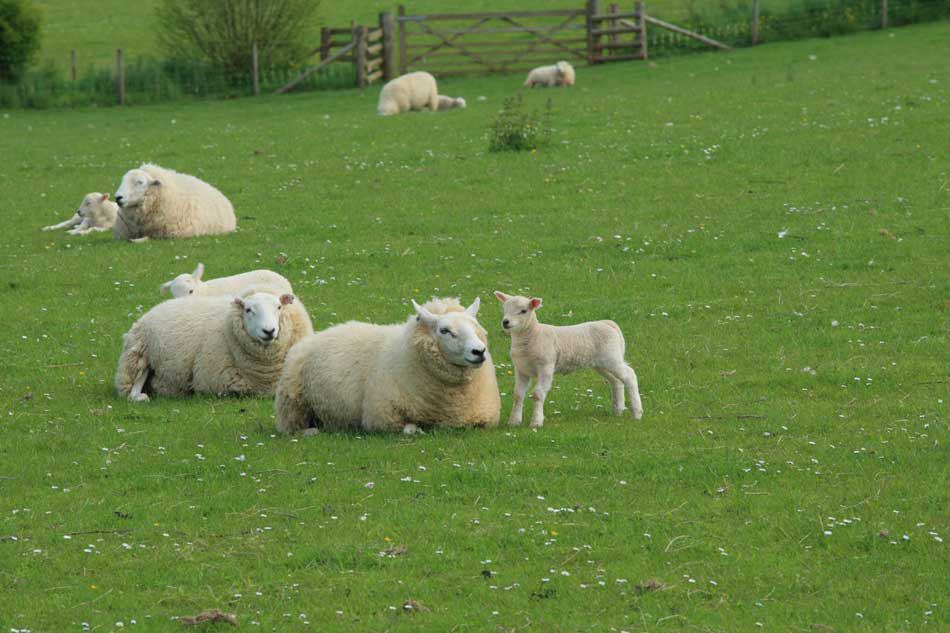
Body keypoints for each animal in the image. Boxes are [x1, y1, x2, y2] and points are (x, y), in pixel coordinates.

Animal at [115, 289, 313, 402]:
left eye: (279, 307)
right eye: (248, 310)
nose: (269, 331)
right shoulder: (217, 382)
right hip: (140, 355)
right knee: (133, 389)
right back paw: (141, 397)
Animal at [275, 297, 500, 435]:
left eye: (475, 327)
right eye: (445, 331)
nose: (479, 351)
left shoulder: (484, 419)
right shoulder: (382, 418)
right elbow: (409, 429)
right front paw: (417, 429)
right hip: (293, 404)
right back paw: (312, 431)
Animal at [494, 291, 642, 428]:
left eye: (523, 311)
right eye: (504, 309)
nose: (505, 322)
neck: (534, 334)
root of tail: (608, 323)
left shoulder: (546, 366)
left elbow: (538, 394)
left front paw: (536, 422)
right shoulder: (521, 369)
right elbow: (518, 395)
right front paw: (514, 422)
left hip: (612, 358)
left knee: (630, 375)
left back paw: (637, 412)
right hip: (602, 363)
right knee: (616, 381)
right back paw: (618, 411)